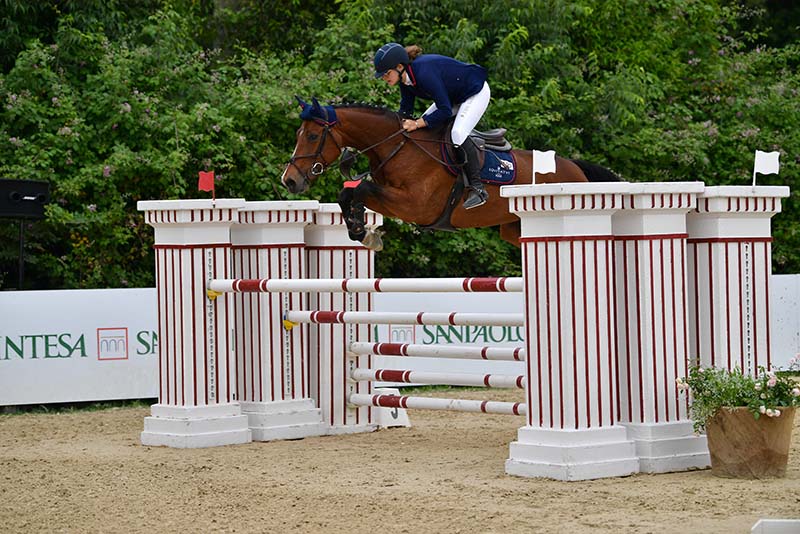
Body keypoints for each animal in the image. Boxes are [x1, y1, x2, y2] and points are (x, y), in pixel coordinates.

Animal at [280, 97, 620, 252]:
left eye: (313, 136)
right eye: (297, 134)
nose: (289, 179)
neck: (397, 147)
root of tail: (574, 166)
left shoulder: (415, 206)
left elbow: (359, 189)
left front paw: (365, 233)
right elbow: (347, 192)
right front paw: (360, 230)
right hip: (514, 229)